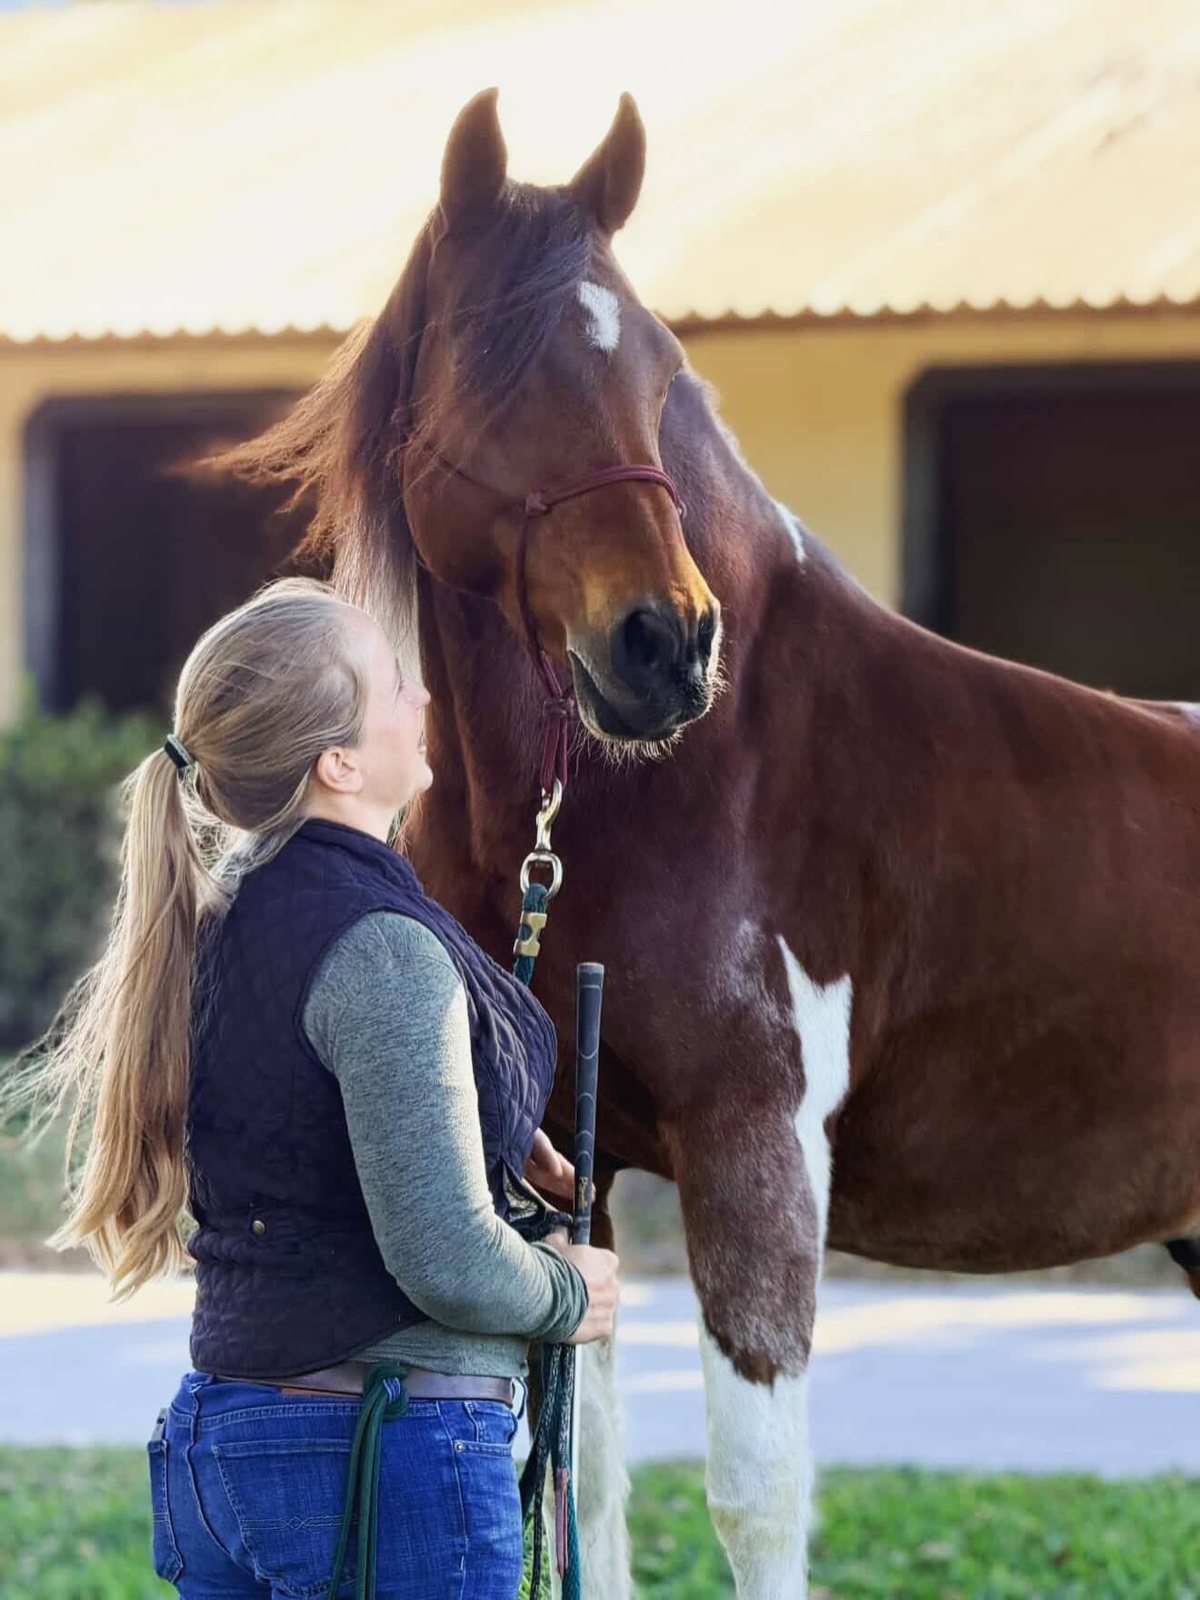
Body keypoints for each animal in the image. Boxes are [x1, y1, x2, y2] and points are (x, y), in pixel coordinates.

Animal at [212, 87, 1200, 1598]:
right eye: (497, 364)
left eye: (663, 372)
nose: (665, 646)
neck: (686, 788)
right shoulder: (568, 1169)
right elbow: (588, 1485)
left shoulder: (757, 1151)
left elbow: (755, 1497)